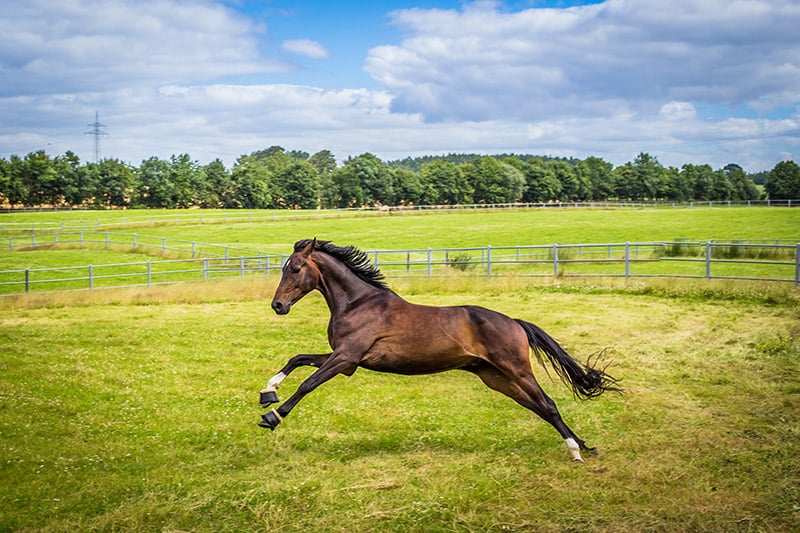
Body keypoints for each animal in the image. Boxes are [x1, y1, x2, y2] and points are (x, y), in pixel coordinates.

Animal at [262, 239, 620, 460]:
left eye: (295, 269)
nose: (278, 306)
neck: (358, 303)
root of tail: (515, 323)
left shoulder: (346, 358)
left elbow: (308, 383)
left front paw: (271, 416)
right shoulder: (345, 360)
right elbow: (297, 359)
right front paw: (268, 392)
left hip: (517, 371)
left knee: (548, 404)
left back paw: (576, 450)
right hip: (496, 378)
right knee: (539, 408)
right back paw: (585, 446)